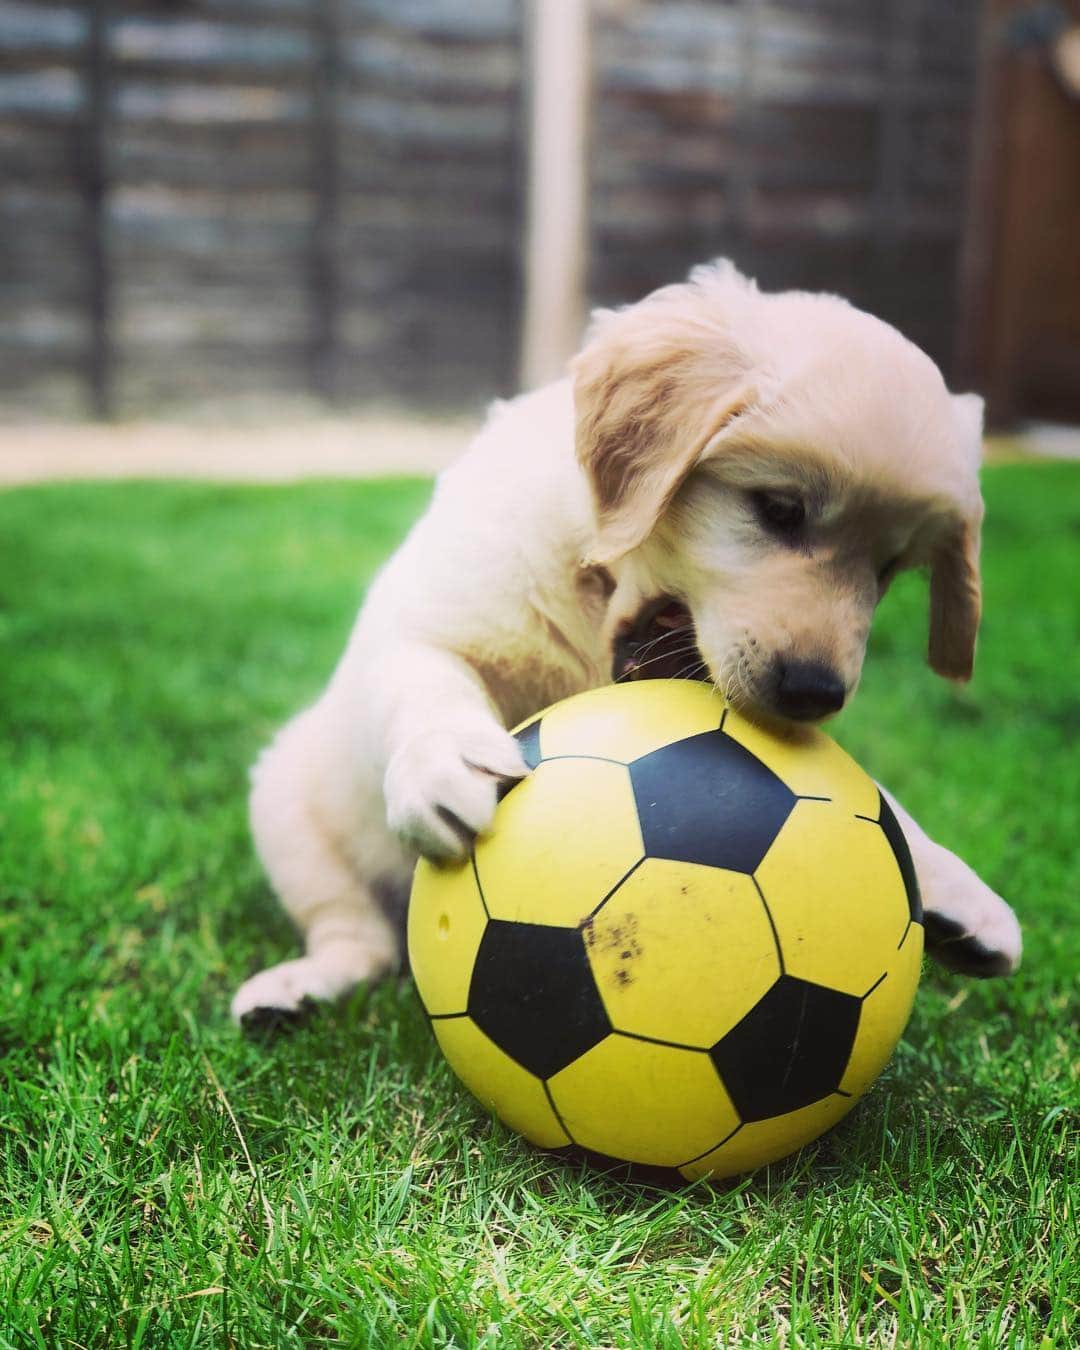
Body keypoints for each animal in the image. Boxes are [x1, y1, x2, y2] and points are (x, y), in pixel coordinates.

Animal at [229, 260, 1020, 1020]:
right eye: (779, 509)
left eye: (889, 568)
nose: (815, 695)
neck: (595, 583)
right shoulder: (430, 618)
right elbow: (421, 681)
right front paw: (445, 762)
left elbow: (869, 796)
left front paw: (951, 885)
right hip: (286, 807)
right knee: (353, 933)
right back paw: (298, 989)